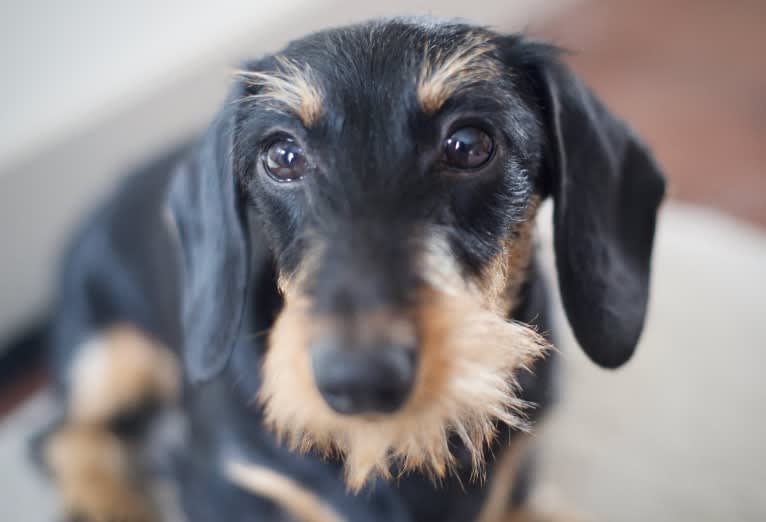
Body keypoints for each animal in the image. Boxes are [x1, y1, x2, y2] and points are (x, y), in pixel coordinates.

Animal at [37, 16, 664, 520]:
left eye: (468, 143)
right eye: (282, 155)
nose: (360, 379)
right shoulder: (219, 482)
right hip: (108, 358)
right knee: (56, 435)